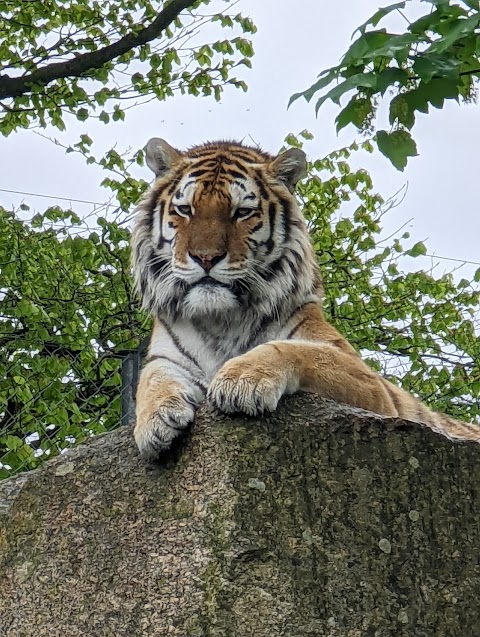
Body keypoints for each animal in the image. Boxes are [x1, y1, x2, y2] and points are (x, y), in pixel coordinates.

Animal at [129, 138, 478, 458]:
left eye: (242, 212)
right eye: (184, 210)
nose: (205, 257)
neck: (222, 318)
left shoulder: (371, 384)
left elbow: (294, 349)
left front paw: (241, 379)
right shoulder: (165, 358)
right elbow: (150, 378)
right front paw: (154, 422)